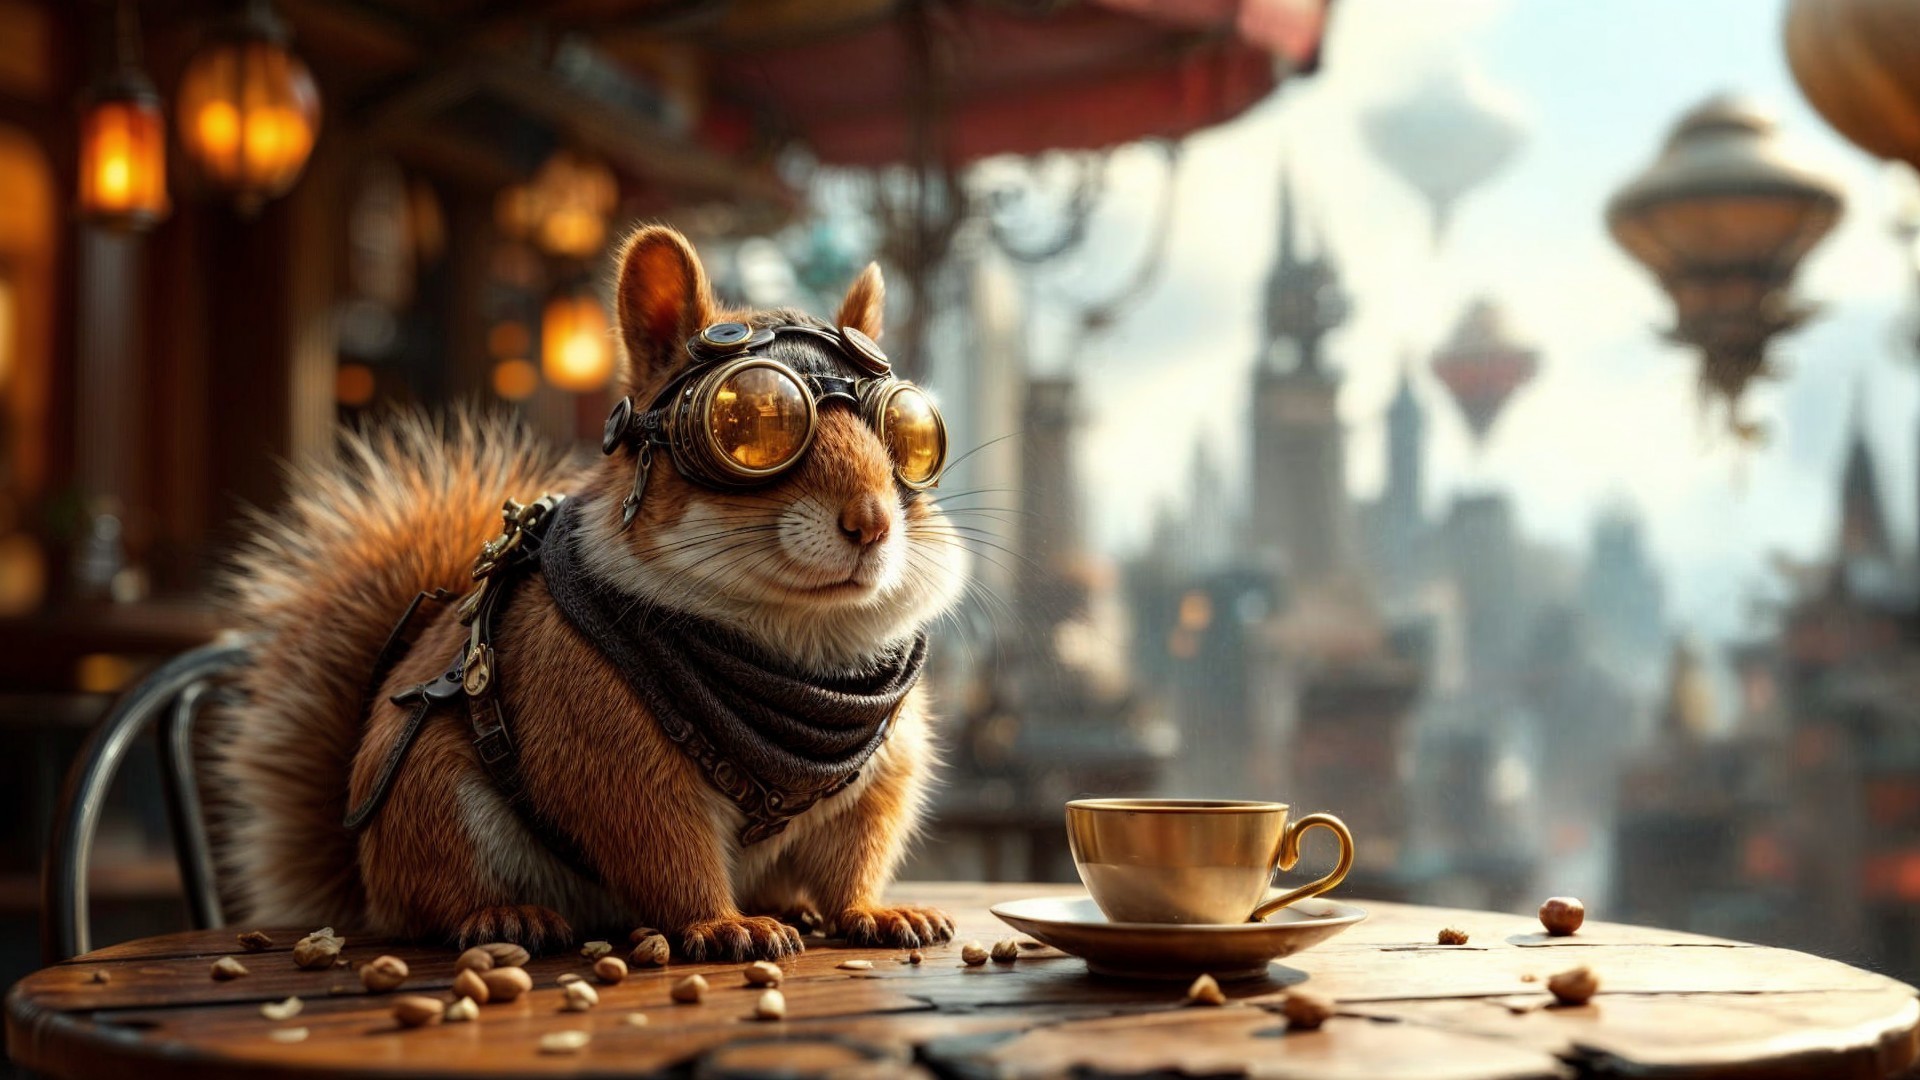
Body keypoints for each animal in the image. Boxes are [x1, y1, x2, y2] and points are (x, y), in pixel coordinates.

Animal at [212, 226, 969, 959]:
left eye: (910, 434)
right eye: (751, 421)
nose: (871, 521)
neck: (803, 641)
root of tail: (366, 879)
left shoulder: (886, 772)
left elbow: (856, 857)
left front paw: (877, 913)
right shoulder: (602, 742)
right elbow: (666, 849)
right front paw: (724, 925)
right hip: (432, 802)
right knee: (437, 902)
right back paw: (507, 916)